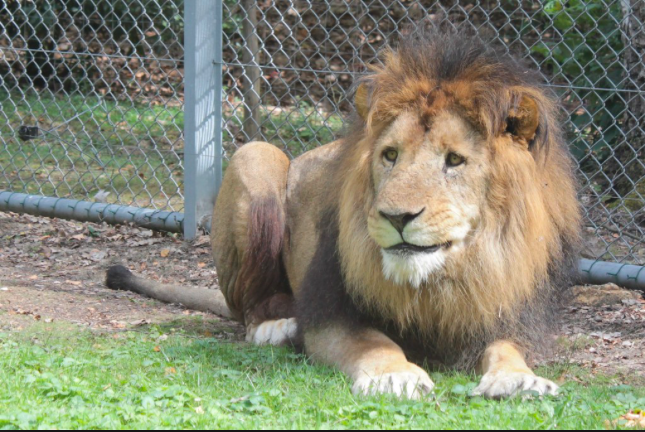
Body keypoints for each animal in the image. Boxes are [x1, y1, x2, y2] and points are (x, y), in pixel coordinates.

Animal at [104, 25, 580, 400]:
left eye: (455, 160)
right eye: (390, 155)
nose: (397, 217)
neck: (442, 278)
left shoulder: (509, 310)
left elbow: (507, 349)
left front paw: (521, 380)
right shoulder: (329, 310)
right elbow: (373, 343)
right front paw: (395, 376)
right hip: (254, 157)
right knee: (248, 307)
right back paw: (275, 326)